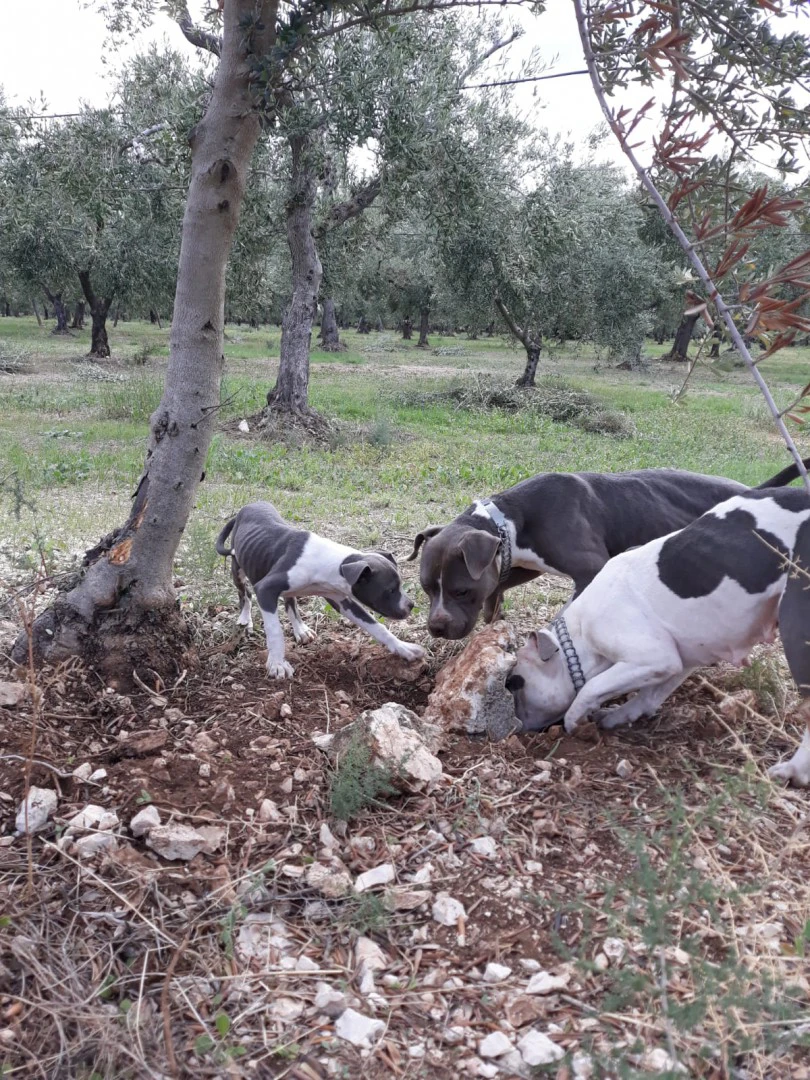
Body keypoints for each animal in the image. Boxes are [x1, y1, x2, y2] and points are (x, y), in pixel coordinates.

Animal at [219, 501, 427, 678]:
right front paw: (277, 664)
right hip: (238, 567)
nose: (411, 605)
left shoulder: (342, 600)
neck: (331, 563)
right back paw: (245, 619)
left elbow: (376, 626)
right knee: (244, 594)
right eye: (390, 590)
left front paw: (403, 648)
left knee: (290, 601)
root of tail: (246, 507)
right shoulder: (265, 589)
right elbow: (275, 630)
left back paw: (300, 629)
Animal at [408, 457, 810, 639]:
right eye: (426, 589)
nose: (436, 627)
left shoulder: (590, 566)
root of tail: (752, 490)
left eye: (461, 590)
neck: (509, 519)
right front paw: (494, 612)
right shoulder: (521, 561)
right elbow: (500, 582)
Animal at [509, 488, 810, 786]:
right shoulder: (682, 659)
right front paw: (617, 716)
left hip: (797, 629)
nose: (518, 729)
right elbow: (649, 696)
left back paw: (792, 771)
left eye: (516, 683)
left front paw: (575, 721)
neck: (579, 635)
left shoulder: (652, 658)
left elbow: (591, 687)